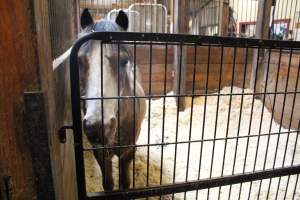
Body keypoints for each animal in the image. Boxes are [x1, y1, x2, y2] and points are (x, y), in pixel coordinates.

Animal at [78, 8, 146, 191]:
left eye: (124, 61)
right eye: (80, 61)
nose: (97, 127)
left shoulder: (128, 152)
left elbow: (125, 183)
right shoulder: (101, 152)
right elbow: (108, 184)